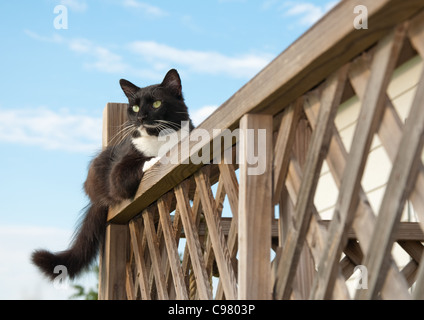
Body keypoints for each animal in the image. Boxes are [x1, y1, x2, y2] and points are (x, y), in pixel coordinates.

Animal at [31, 69, 194, 280]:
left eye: (156, 104)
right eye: (134, 107)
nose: (141, 117)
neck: (159, 139)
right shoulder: (118, 173)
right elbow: (138, 164)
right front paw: (156, 157)